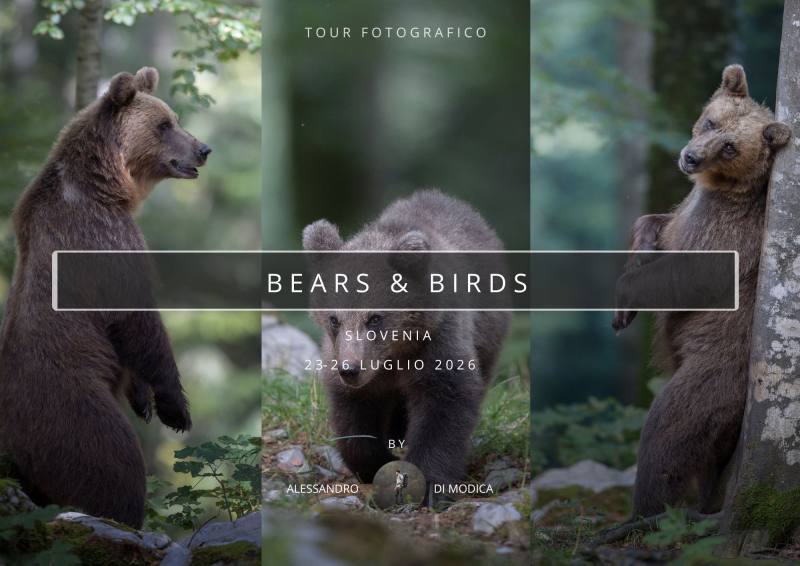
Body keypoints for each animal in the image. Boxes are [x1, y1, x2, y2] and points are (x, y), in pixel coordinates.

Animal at [0, 67, 210, 528]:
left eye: (174, 117)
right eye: (164, 124)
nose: (203, 149)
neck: (105, 187)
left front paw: (144, 400)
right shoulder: (102, 238)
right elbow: (138, 318)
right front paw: (175, 408)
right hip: (72, 411)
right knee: (114, 463)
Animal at [302, 190, 511, 488]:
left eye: (375, 318)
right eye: (334, 319)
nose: (350, 370)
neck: (395, 353)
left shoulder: (438, 343)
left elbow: (446, 405)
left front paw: (429, 480)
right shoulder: (341, 358)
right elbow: (354, 417)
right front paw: (377, 461)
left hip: (489, 332)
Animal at [613, 65, 791, 517]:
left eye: (730, 147)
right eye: (711, 121)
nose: (690, 157)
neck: (718, 188)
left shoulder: (727, 234)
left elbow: (687, 278)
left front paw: (624, 300)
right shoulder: (689, 211)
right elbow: (654, 222)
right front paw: (639, 255)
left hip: (715, 373)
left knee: (668, 428)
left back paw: (641, 515)